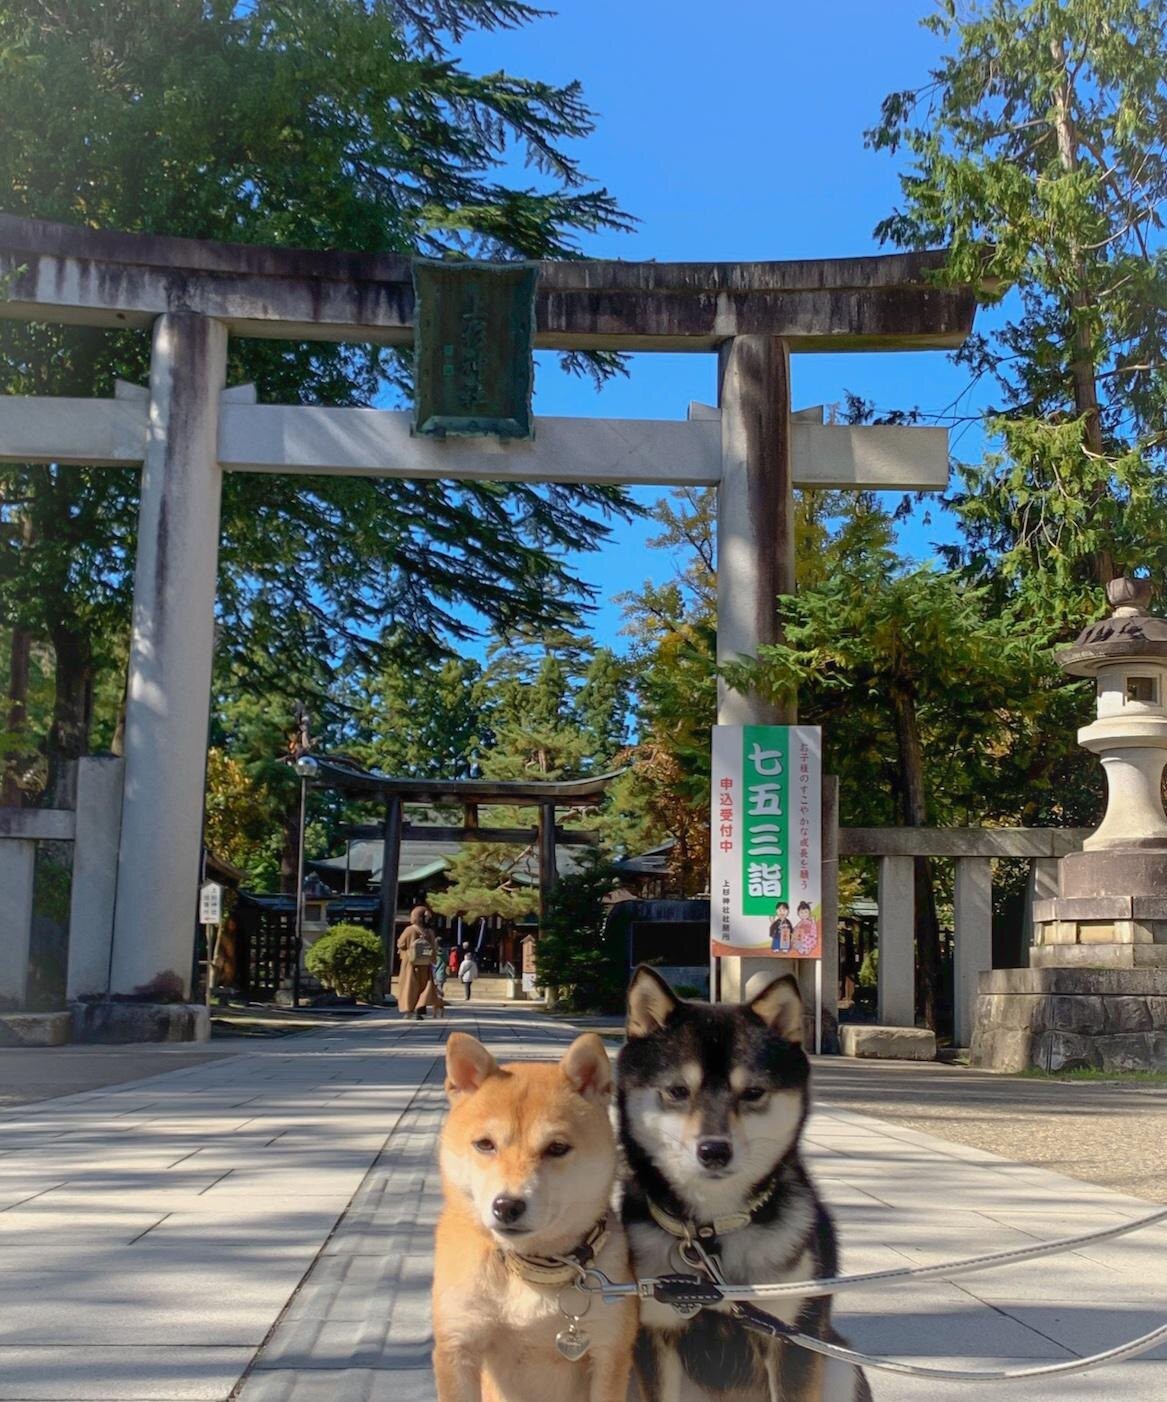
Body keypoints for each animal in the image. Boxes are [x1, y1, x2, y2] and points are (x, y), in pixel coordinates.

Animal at [432, 1031, 633, 1402]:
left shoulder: (608, 1351)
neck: (529, 1269)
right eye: (485, 1144)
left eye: (557, 1148)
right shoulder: (458, 1345)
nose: (507, 1205)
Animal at [619, 970, 864, 1402]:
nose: (714, 1150)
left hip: (841, 1364)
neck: (712, 1234)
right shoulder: (656, 1331)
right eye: (677, 1091)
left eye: (752, 1093)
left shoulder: (791, 1335)